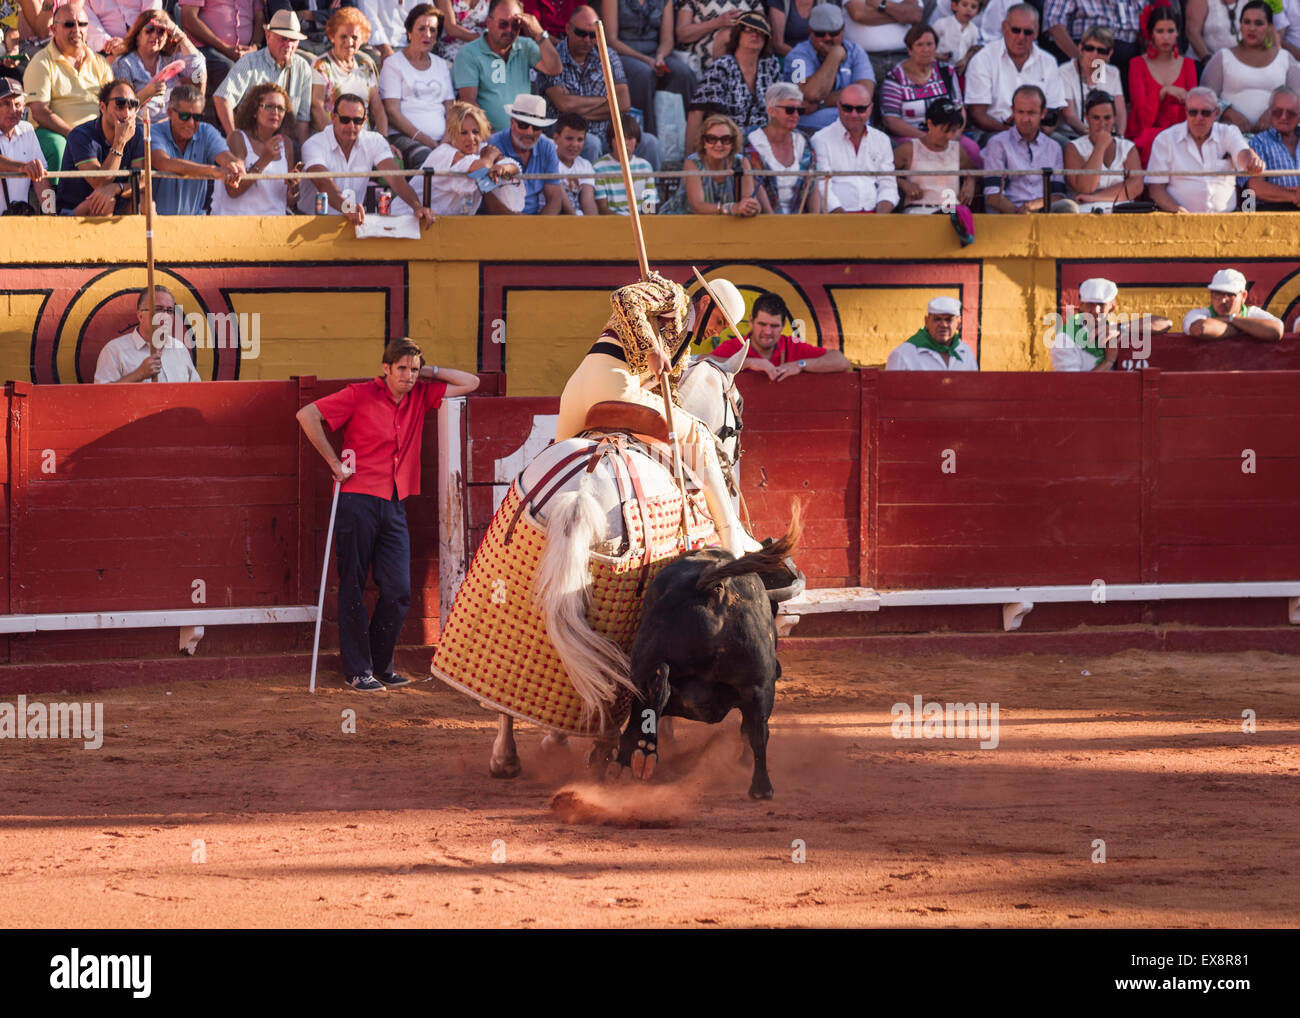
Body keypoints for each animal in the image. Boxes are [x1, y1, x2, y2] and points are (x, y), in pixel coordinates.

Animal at [611, 514, 800, 800]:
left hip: (645, 662)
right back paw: (761, 788)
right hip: (760, 686)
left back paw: (641, 753)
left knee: (654, 691)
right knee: (758, 731)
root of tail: (714, 589)